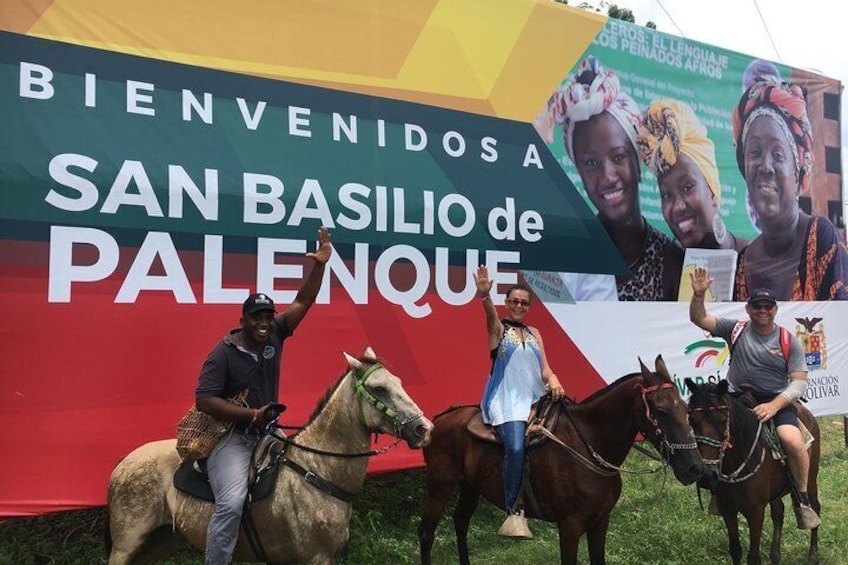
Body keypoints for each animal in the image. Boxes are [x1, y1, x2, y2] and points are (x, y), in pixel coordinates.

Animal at [107, 346, 434, 560]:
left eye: (399, 382)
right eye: (379, 389)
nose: (424, 428)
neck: (317, 470)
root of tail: (123, 464)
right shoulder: (317, 557)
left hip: (162, 541)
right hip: (126, 544)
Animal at [420, 356, 704, 564]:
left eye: (685, 408)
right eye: (660, 411)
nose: (695, 468)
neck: (589, 446)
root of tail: (439, 419)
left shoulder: (600, 522)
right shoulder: (569, 526)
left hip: (470, 487)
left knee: (460, 523)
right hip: (439, 487)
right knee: (426, 533)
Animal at [688, 378, 820, 564]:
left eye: (722, 420)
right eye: (691, 419)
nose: (707, 475)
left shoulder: (756, 512)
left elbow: (753, 557)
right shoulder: (727, 510)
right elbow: (735, 550)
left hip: (811, 479)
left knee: (815, 507)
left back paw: (813, 554)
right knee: (778, 512)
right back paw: (775, 555)